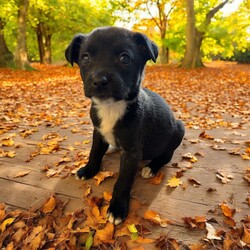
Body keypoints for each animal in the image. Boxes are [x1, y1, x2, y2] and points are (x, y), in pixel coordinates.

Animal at [65, 26, 185, 225]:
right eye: (85, 58)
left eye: (124, 58)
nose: (99, 81)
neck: (111, 107)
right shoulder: (98, 132)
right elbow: (94, 153)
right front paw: (89, 170)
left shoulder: (131, 152)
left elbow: (123, 181)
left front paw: (117, 208)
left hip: (179, 129)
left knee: (166, 156)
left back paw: (151, 167)